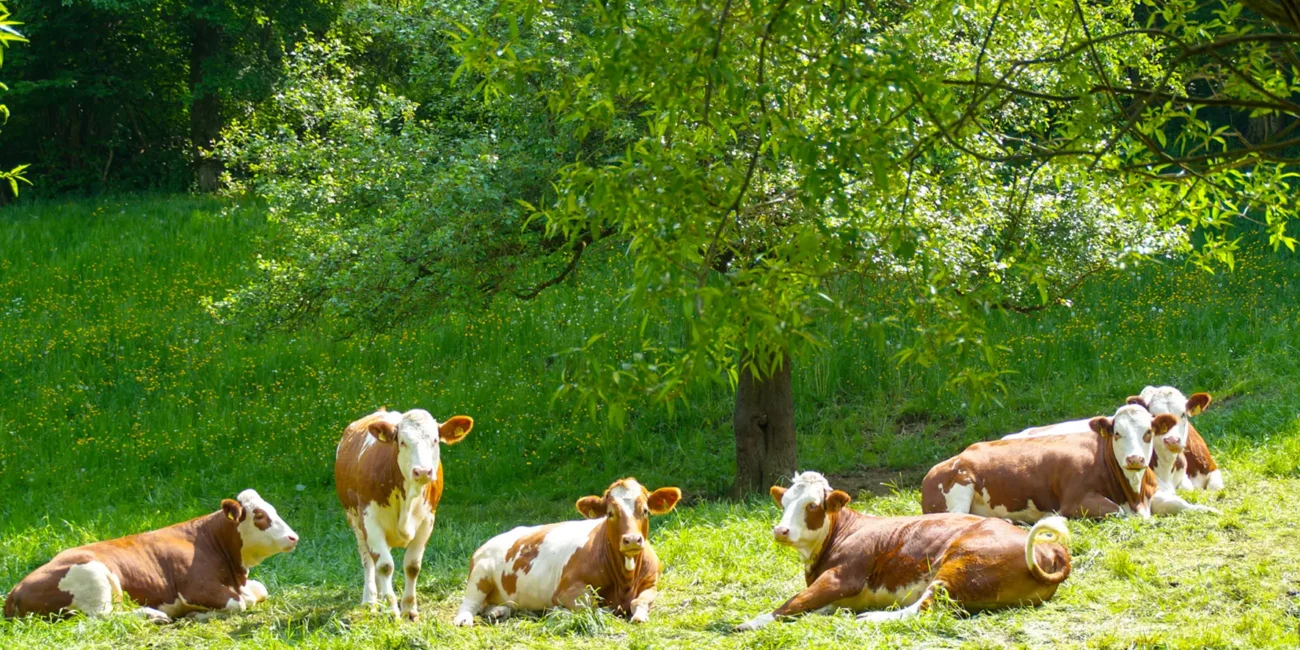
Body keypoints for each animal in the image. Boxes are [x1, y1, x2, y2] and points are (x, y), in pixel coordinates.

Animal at [4, 490, 297, 622]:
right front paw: (197, 615)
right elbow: (239, 603)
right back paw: (153, 614)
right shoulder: (195, 587)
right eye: (260, 516)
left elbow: (259, 590)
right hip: (92, 574)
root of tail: (15, 589)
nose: (293, 537)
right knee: (102, 617)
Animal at [335, 407, 473, 620]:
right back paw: (370, 600)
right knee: (368, 560)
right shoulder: (370, 521)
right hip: (355, 521)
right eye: (402, 441)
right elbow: (385, 566)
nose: (423, 472)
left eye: (435, 440)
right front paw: (392, 611)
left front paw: (409, 608)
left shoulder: (427, 521)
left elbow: (412, 566)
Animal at [452, 477, 682, 626]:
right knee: (469, 604)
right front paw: (559, 612)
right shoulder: (566, 590)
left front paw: (640, 615)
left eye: (645, 510)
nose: (632, 539)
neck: (624, 582)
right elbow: (594, 606)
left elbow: (639, 601)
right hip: (480, 574)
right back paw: (464, 619)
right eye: (610, 513)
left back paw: (498, 611)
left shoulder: (651, 583)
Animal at [735, 471, 1071, 631]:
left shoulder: (842, 578)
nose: (780, 530)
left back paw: (872, 618)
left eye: (813, 505)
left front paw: (751, 622)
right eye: (784, 502)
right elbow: (806, 604)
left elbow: (793, 602)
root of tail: (1050, 550)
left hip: (961, 563)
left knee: (922, 608)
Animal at [922, 404, 1215, 520]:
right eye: (1117, 433)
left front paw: (1209, 510)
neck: (1134, 495)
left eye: (1148, 432)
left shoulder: (1152, 493)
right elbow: (1117, 511)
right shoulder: (1076, 501)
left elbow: (1181, 504)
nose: (1134, 459)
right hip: (956, 492)